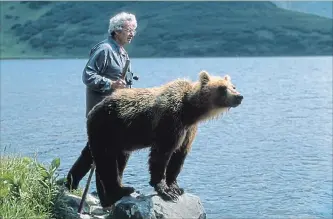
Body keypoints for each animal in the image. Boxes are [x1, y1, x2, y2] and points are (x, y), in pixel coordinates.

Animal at [86, 70, 241, 209]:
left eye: (233, 86)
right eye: (222, 88)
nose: (239, 96)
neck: (190, 112)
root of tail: (95, 108)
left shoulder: (188, 131)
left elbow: (178, 157)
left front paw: (176, 187)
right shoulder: (170, 121)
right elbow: (161, 155)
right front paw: (165, 190)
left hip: (120, 139)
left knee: (118, 160)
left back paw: (114, 194)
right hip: (106, 129)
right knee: (106, 160)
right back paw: (119, 191)